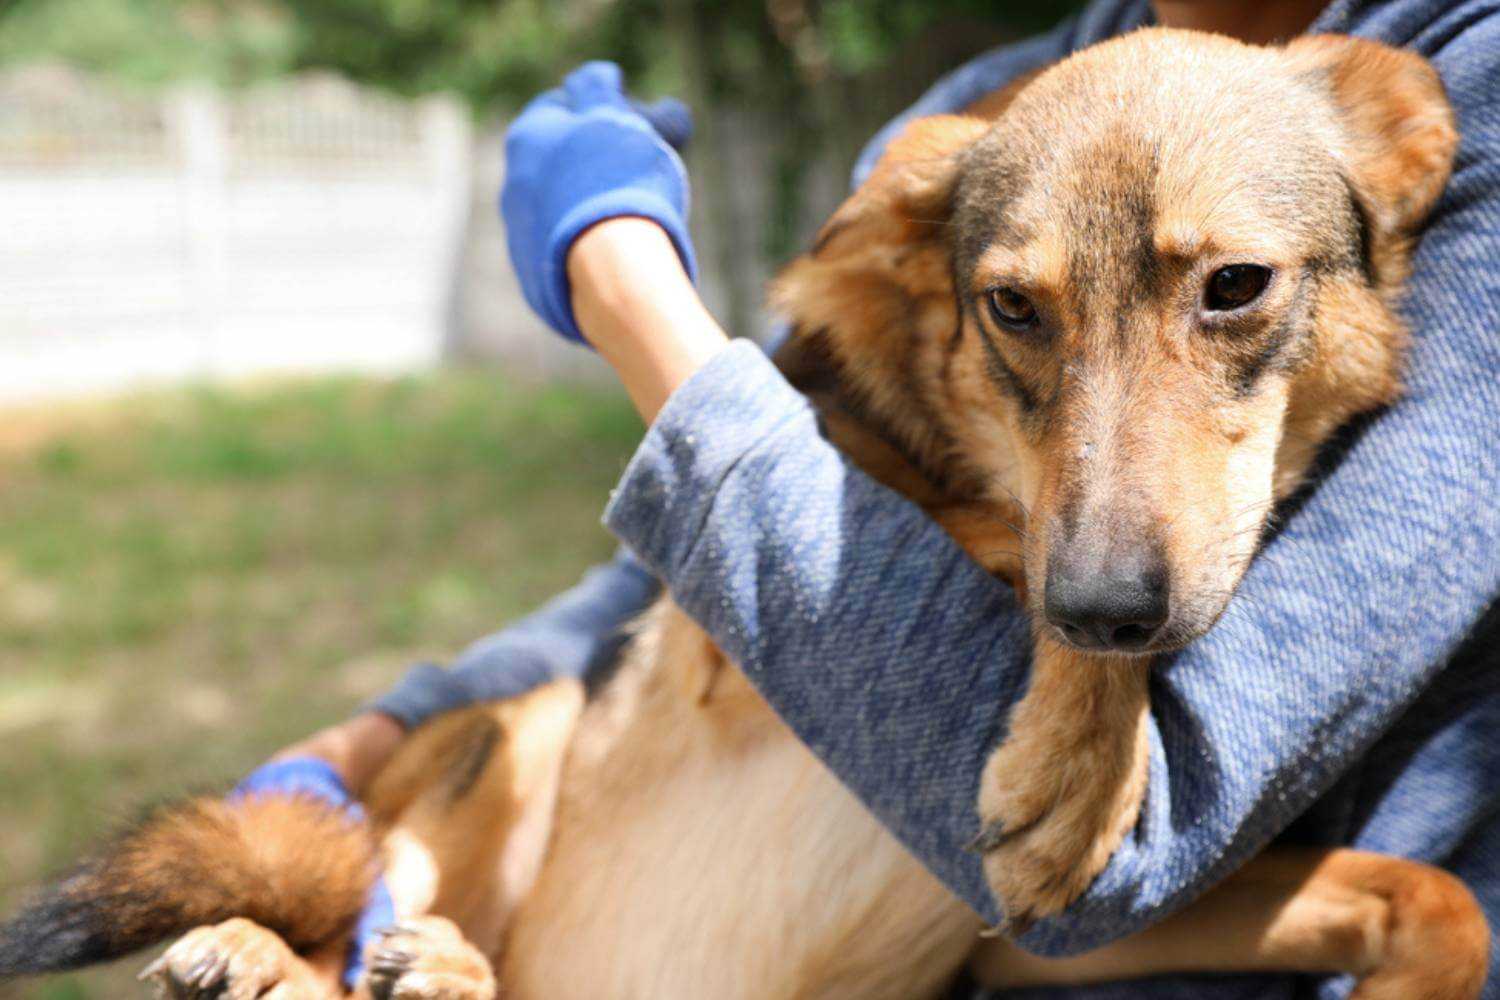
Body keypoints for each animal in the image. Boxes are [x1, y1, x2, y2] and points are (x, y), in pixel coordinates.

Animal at [0, 27, 1488, 1000]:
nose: (1109, 611)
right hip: (519, 721)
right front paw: (1077, 758)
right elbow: (1012, 543)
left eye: (1235, 285)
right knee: (346, 915)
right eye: (1012, 307)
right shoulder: (759, 614)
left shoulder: (1032, 942)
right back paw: (298, 956)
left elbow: (1435, 896)